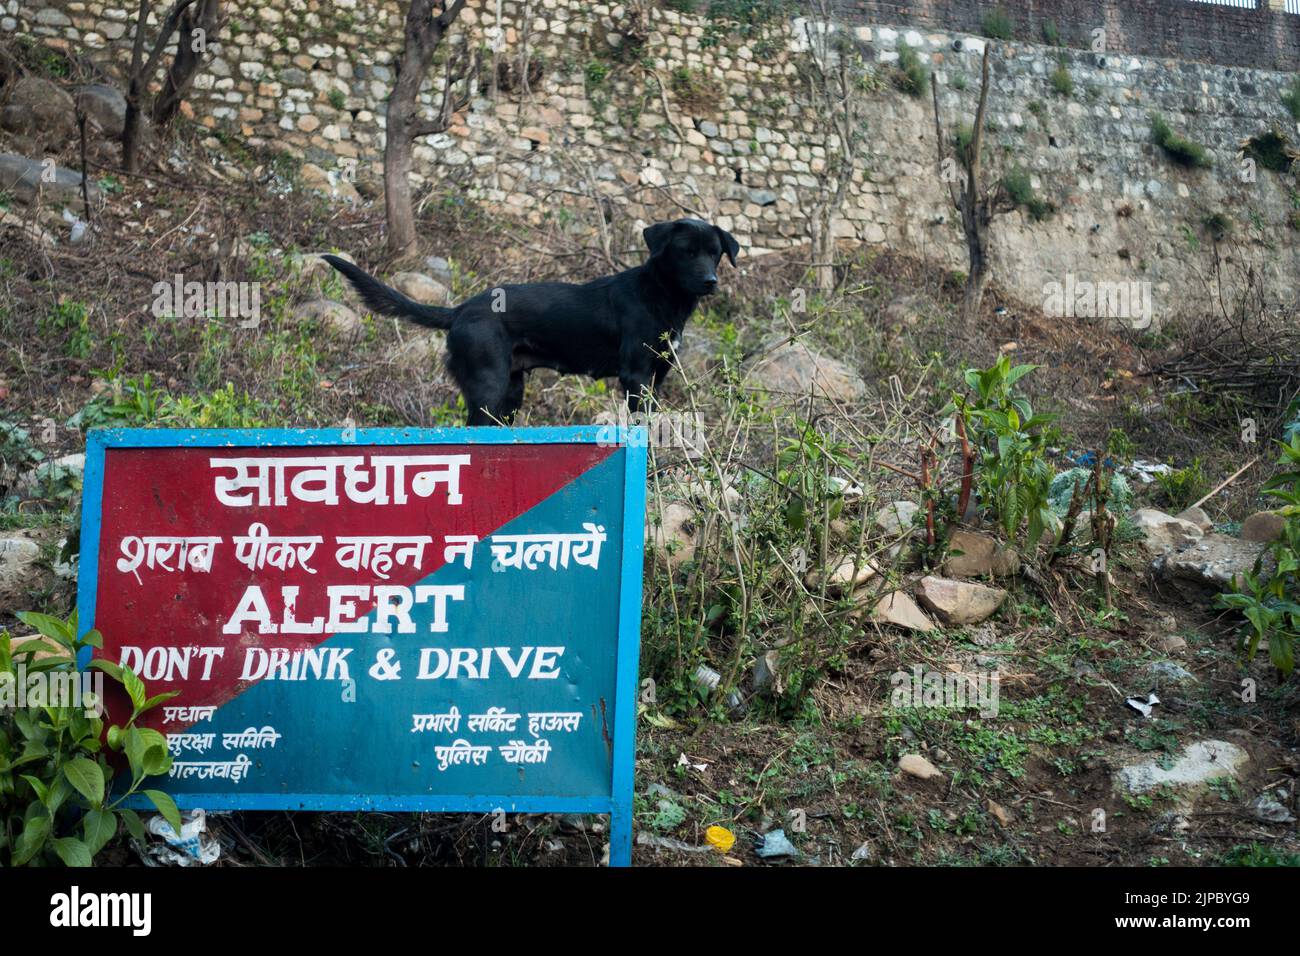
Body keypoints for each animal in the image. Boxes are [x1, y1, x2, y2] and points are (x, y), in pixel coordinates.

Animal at [321, 221, 738, 426]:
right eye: (686, 252)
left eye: (715, 253)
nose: (710, 281)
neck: (662, 297)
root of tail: (461, 310)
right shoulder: (636, 376)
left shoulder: (660, 375)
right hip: (487, 389)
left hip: (510, 393)